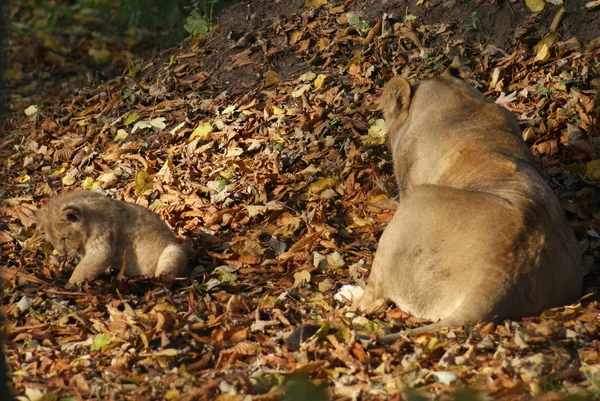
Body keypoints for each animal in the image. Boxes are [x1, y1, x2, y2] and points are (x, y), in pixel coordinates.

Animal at [35, 188, 185, 284]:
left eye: (64, 238)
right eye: (53, 242)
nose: (63, 255)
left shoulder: (101, 249)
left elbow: (83, 269)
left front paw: (71, 284)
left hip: (173, 251)